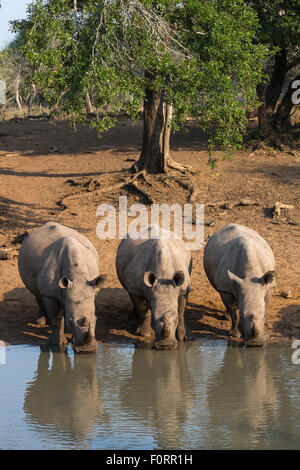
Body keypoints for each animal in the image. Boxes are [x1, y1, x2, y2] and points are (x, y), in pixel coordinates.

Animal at [17, 222, 106, 350]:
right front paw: (57, 344)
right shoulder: (49, 294)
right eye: (71, 321)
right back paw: (41, 321)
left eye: (96, 319)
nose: (87, 350)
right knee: (36, 294)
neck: (78, 277)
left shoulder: (91, 288)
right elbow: (56, 319)